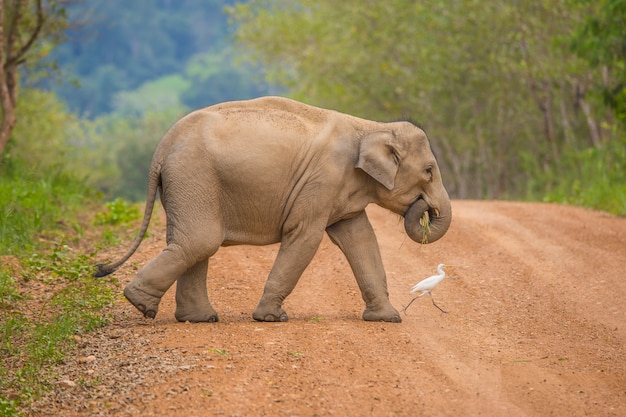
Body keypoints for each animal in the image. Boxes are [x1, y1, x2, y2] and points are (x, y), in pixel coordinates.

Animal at [95, 96, 448, 322]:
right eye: (429, 171)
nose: (424, 207)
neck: (370, 127)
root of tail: (163, 145)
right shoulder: (322, 181)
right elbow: (305, 237)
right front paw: (271, 318)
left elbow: (360, 238)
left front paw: (388, 319)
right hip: (193, 177)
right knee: (199, 242)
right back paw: (143, 306)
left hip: (188, 185)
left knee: (192, 244)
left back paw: (199, 318)